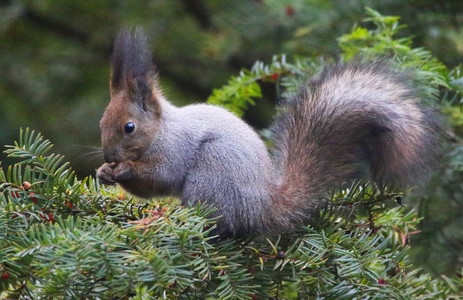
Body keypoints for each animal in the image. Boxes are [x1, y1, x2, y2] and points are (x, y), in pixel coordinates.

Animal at [96, 29, 440, 238]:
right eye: (101, 123)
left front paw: (123, 170)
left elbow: (160, 178)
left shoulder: (175, 150)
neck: (161, 131)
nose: (109, 156)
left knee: (213, 222)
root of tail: (263, 206)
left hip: (212, 174)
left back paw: (167, 221)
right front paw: (103, 172)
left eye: (129, 127)